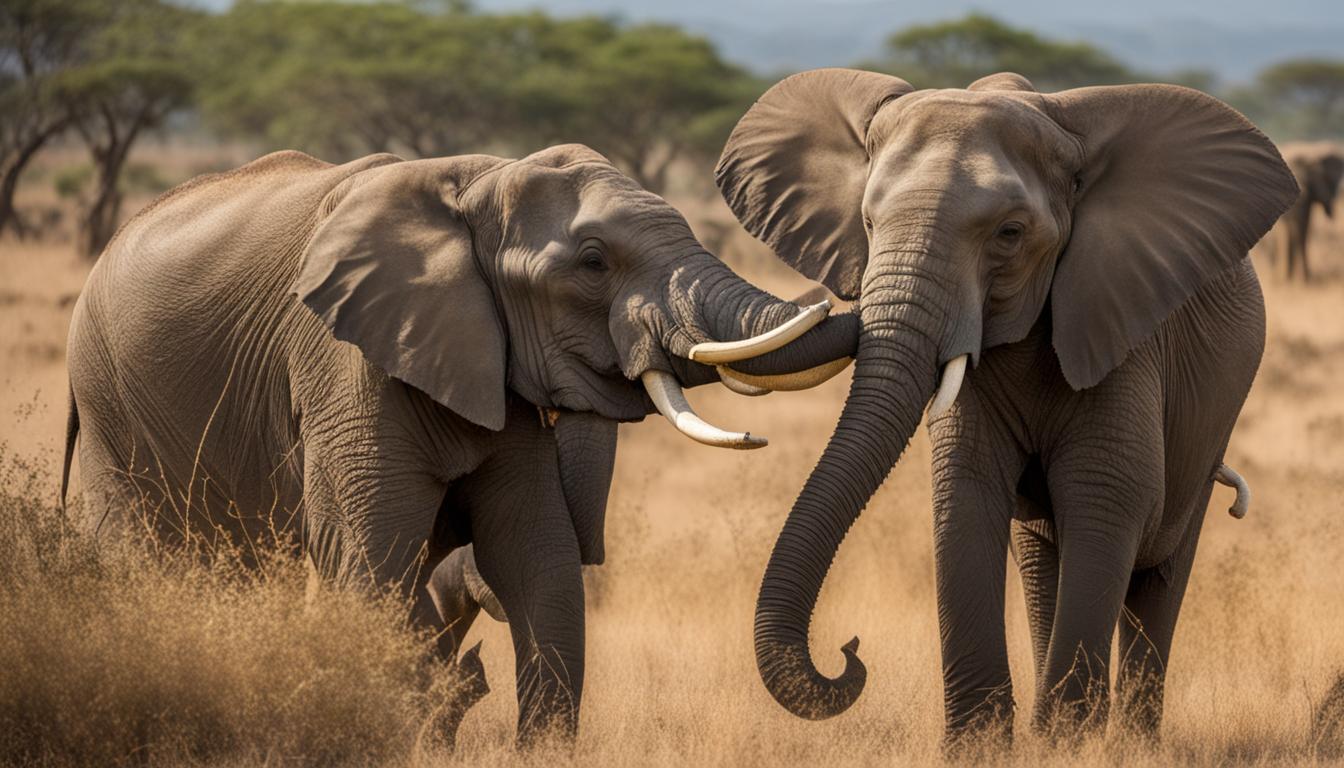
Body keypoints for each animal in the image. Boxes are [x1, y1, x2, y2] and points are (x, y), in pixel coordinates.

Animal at [60, 145, 859, 744]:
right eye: (593, 263)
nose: (848, 651)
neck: (476, 182)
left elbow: (535, 554)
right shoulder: (343, 360)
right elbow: (367, 551)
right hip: (111, 407)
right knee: (152, 553)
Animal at [712, 69, 1298, 740]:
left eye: (1010, 234)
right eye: (867, 223)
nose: (848, 650)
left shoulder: (1121, 328)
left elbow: (1110, 495)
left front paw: (1071, 745)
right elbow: (967, 491)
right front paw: (986, 744)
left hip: (1217, 412)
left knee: (1160, 564)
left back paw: (1129, 740)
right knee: (1043, 553)